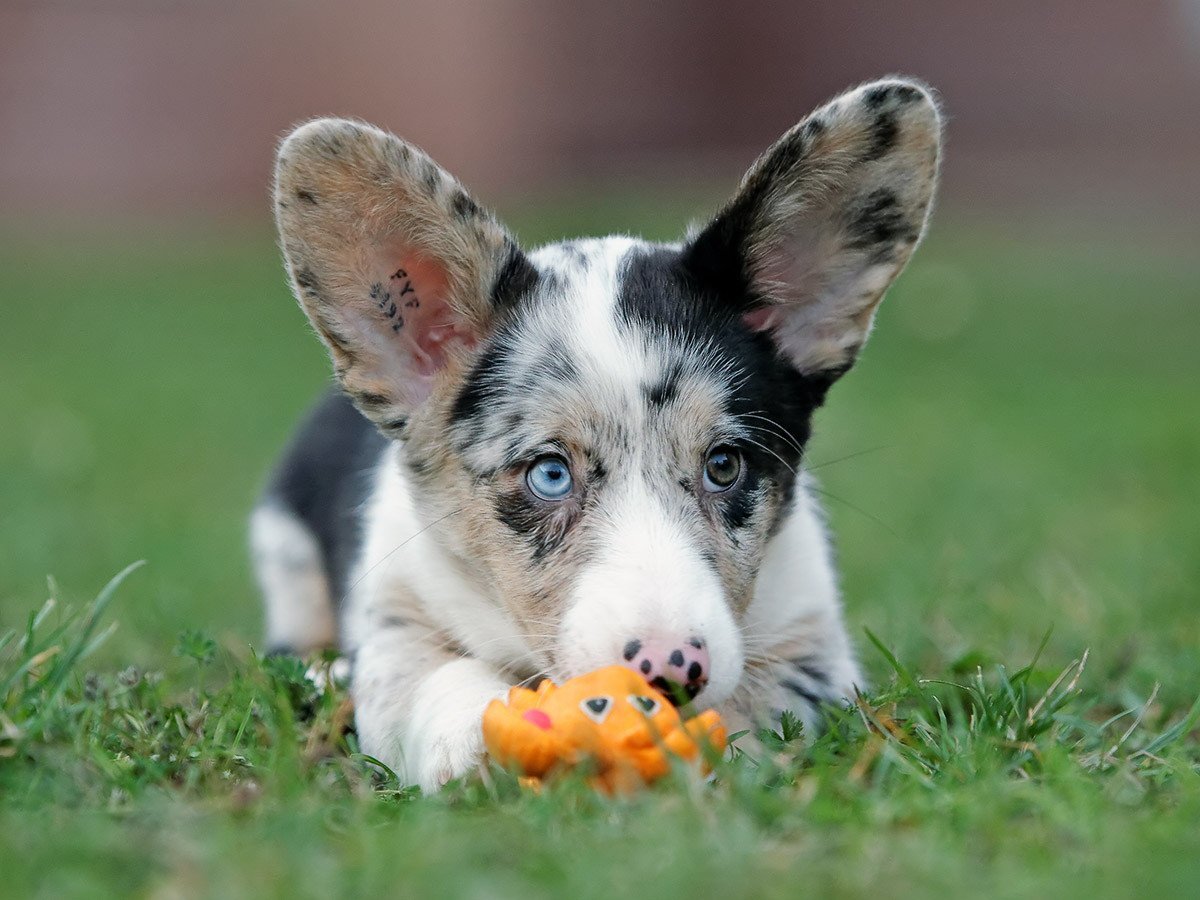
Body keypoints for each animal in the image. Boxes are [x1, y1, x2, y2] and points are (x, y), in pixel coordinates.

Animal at [250, 79, 936, 796]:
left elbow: (761, 703)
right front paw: (480, 744)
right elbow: (438, 677)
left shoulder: (812, 642)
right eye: (550, 474)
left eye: (725, 465)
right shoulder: (395, 621)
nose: (672, 670)